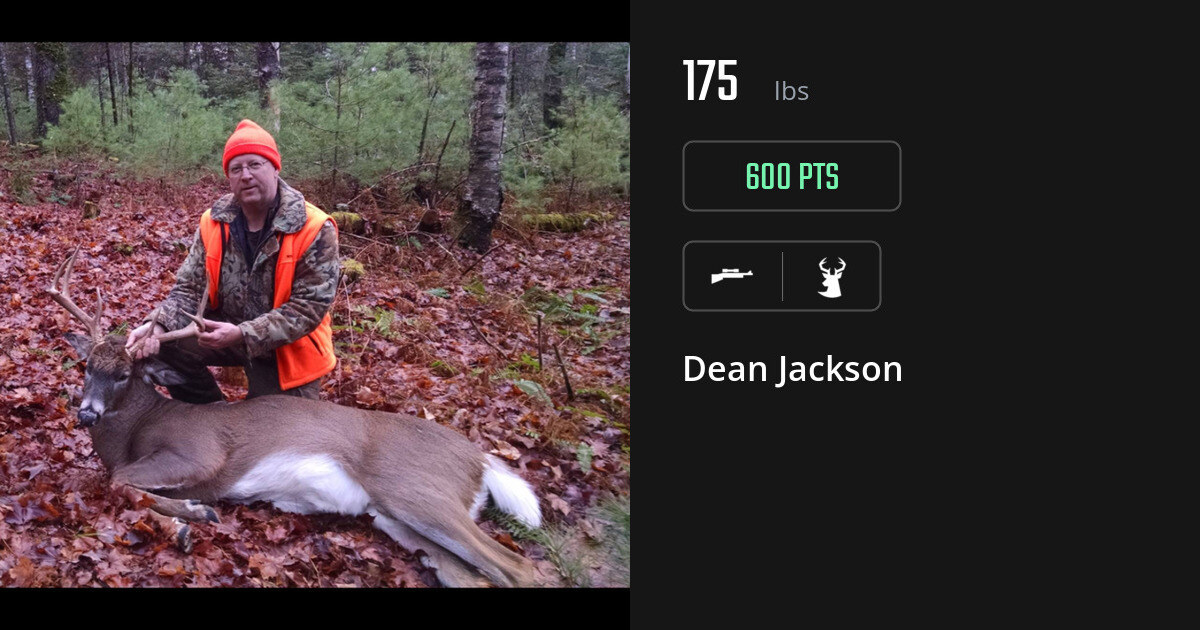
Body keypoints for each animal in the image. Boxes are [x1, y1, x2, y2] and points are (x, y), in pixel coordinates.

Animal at [49, 250, 542, 587]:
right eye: (87, 366)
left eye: (124, 375)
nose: (86, 413)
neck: (135, 431)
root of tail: (481, 459)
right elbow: (125, 485)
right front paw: (185, 517)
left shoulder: (199, 453)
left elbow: (122, 484)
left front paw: (191, 517)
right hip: (393, 518)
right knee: (475, 576)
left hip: (416, 490)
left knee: (522, 568)